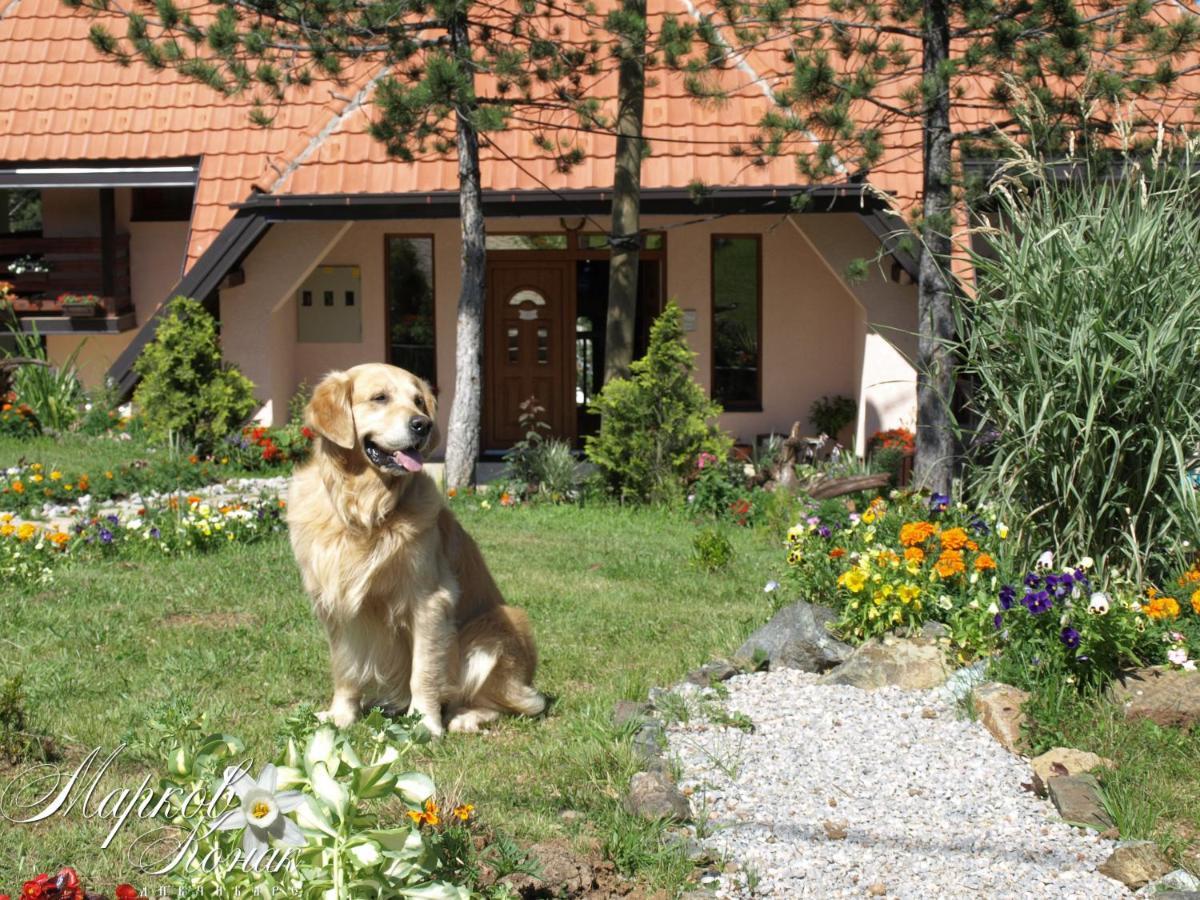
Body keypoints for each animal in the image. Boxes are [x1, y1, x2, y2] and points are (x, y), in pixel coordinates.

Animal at [283, 362, 547, 734]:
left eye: (419, 402)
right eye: (379, 398)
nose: (423, 425)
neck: (365, 510)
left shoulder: (429, 601)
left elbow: (423, 673)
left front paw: (425, 723)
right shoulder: (334, 603)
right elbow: (345, 668)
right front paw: (341, 716)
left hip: (496, 624)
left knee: (509, 704)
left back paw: (465, 717)